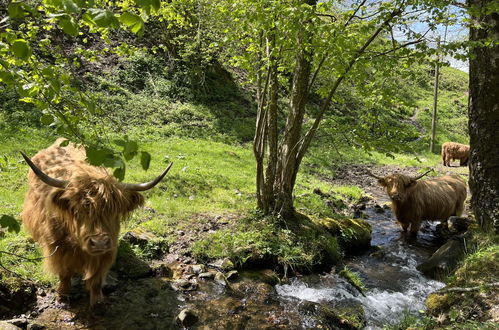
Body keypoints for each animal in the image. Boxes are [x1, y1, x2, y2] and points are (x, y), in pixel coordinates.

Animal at [21, 138, 174, 306]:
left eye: (114, 210)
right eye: (79, 209)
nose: (99, 242)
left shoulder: (107, 251)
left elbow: (96, 278)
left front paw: (98, 301)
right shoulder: (57, 246)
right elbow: (64, 272)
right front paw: (62, 294)